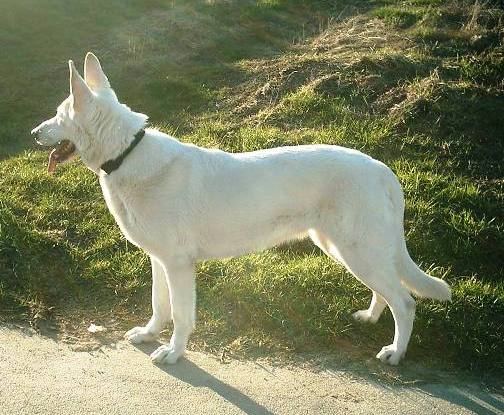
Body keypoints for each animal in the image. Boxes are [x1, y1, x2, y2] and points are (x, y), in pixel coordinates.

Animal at [32, 52, 452, 368]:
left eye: (57, 115)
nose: (34, 133)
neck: (126, 154)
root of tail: (383, 170)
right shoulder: (159, 260)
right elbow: (158, 305)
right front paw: (150, 334)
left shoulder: (178, 265)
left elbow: (181, 315)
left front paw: (173, 352)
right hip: (346, 250)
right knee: (388, 292)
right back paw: (370, 318)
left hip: (357, 251)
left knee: (405, 302)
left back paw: (395, 352)